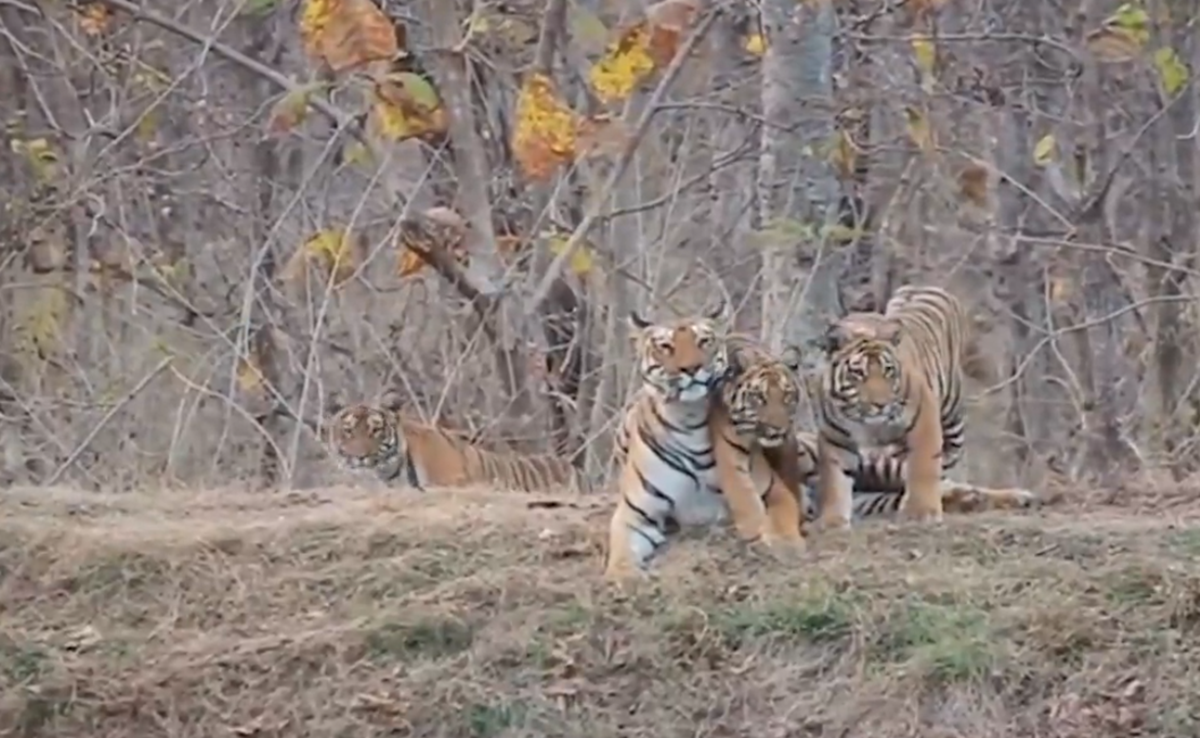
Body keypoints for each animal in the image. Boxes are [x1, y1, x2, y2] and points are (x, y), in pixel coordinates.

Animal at [604, 305, 804, 582]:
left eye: (703, 341)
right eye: (666, 346)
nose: (691, 368)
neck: (688, 422)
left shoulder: (773, 489)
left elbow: (783, 515)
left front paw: (786, 545)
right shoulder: (635, 513)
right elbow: (622, 548)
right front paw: (625, 576)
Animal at [811, 284, 1029, 530]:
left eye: (888, 370)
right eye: (858, 373)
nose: (880, 404)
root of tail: (921, 286)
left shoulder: (923, 417)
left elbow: (923, 466)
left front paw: (921, 512)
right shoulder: (834, 437)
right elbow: (835, 481)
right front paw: (832, 520)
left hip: (951, 415)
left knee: (947, 466)